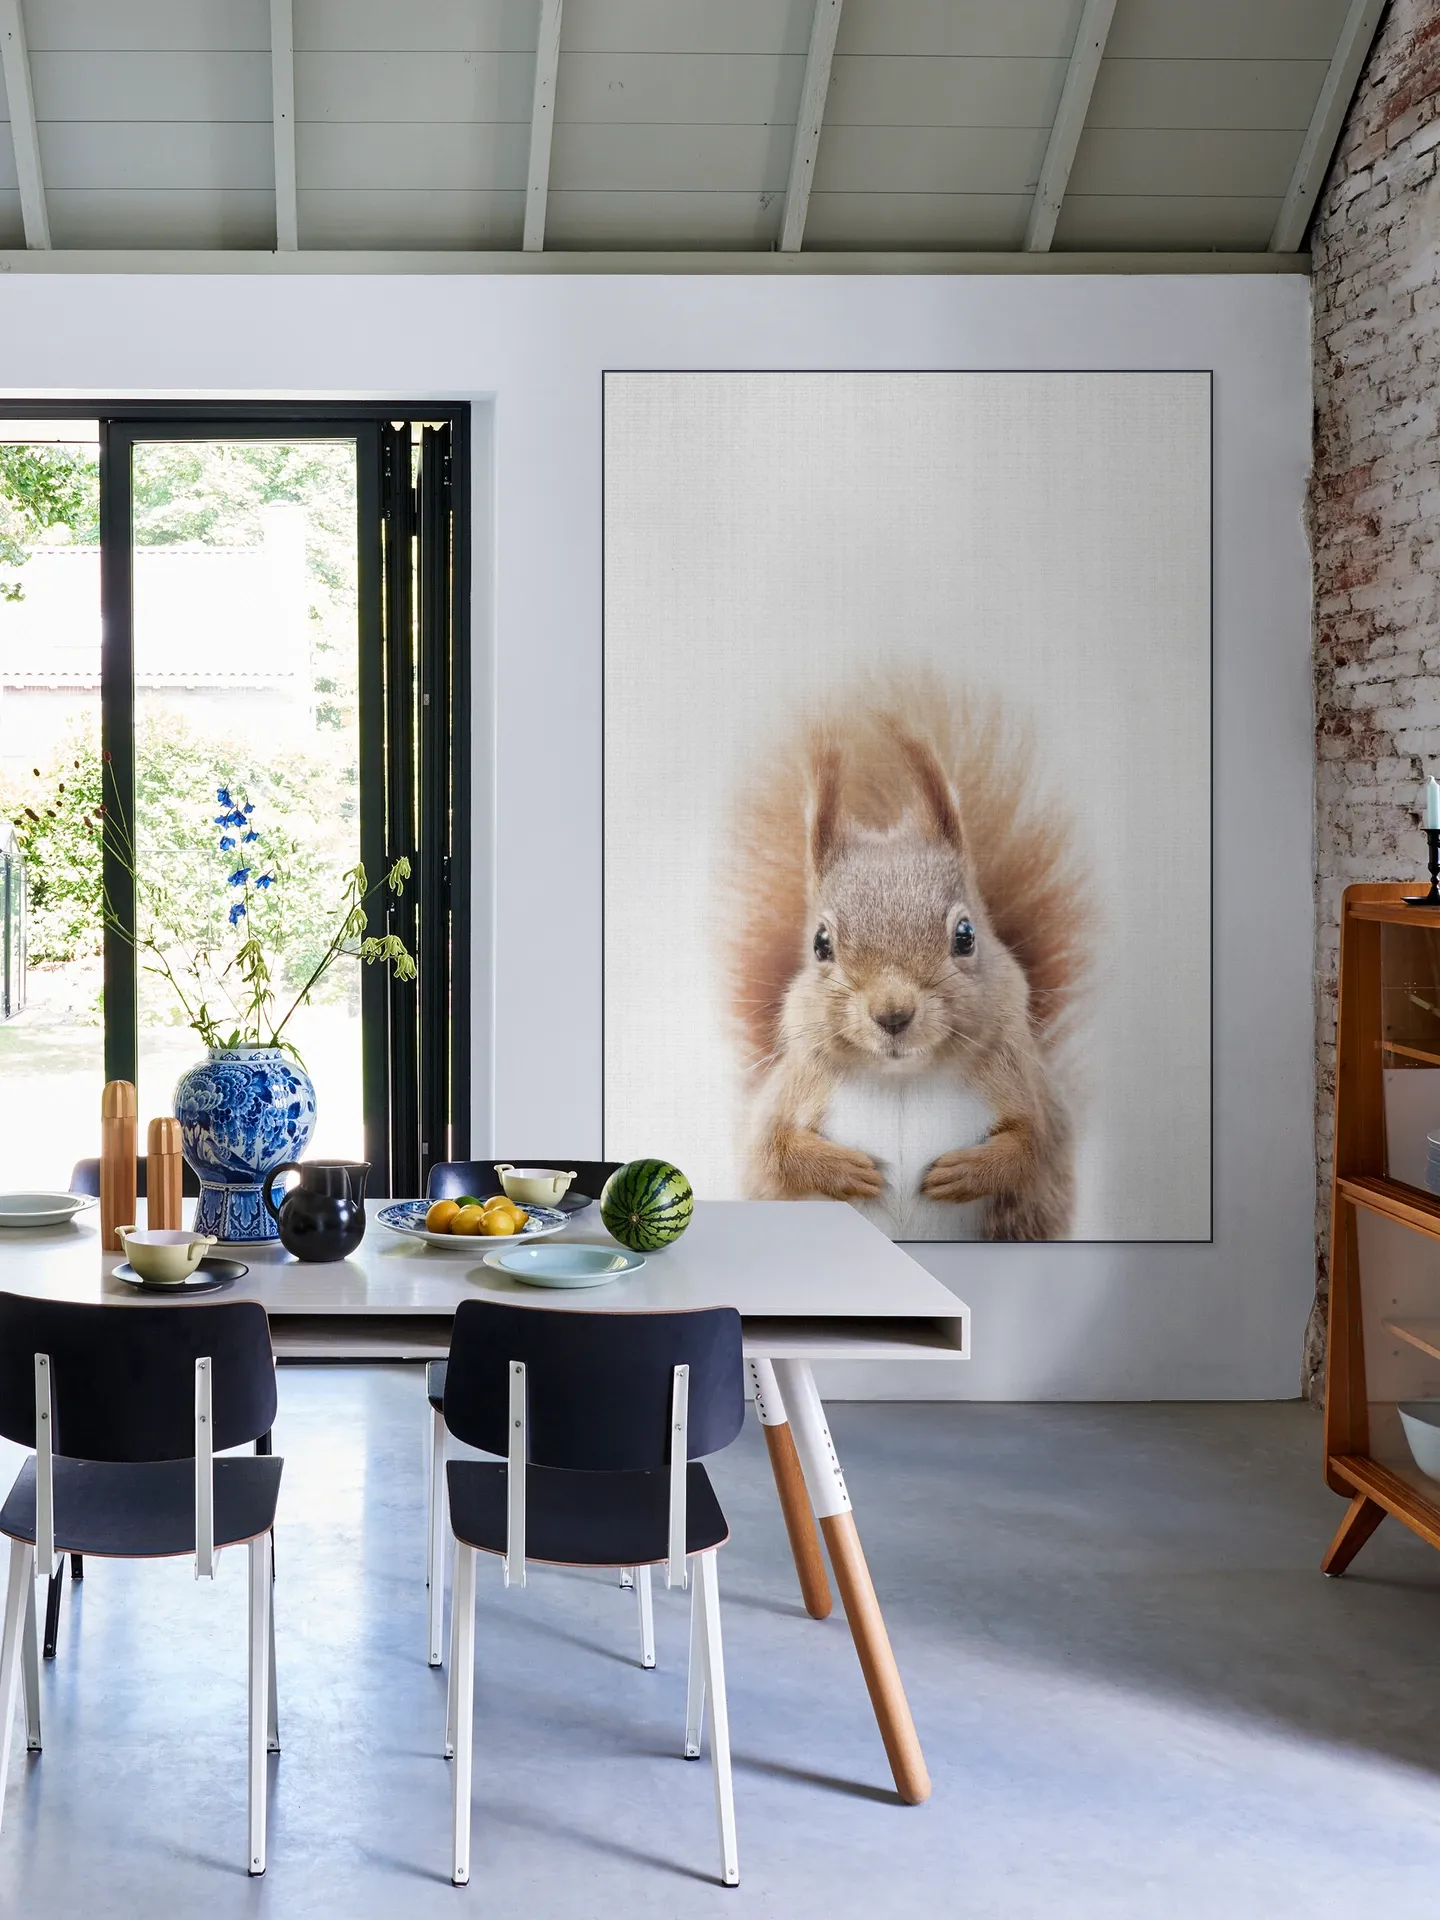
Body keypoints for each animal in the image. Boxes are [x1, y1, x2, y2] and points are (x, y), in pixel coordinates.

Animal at [727, 674, 1088, 1241]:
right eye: (821, 944)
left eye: (965, 935)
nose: (893, 1014)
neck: (901, 1079)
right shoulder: (788, 1097)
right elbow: (774, 1150)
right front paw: (843, 1169)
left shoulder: (1030, 1092)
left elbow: (1034, 1145)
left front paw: (971, 1170)